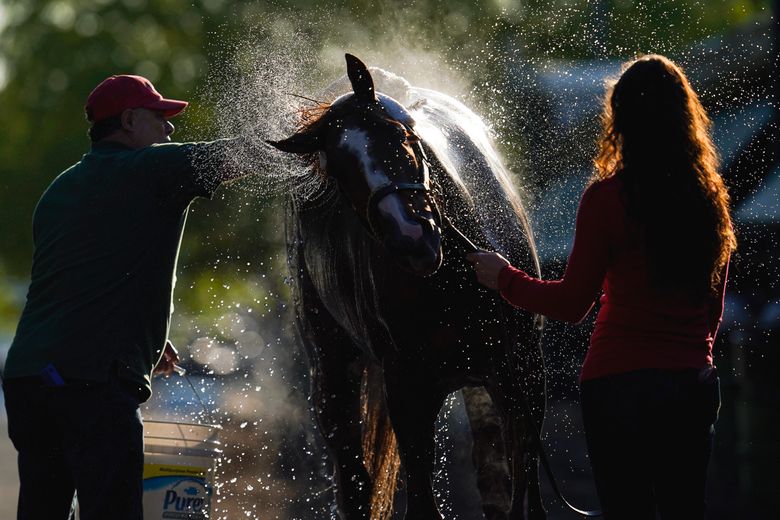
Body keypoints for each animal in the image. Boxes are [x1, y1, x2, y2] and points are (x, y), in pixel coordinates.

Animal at [272, 54, 544, 516]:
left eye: (400, 136)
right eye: (340, 172)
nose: (413, 237)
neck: (456, 281)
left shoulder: (522, 379)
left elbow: (524, 495)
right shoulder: (409, 393)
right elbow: (420, 500)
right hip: (332, 372)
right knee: (354, 482)